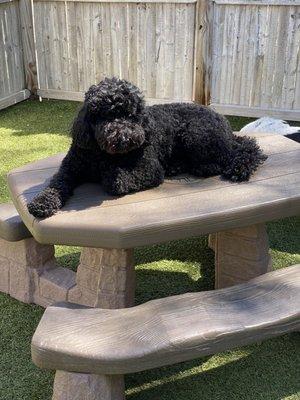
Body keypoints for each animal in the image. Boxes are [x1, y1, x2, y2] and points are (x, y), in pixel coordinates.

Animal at [27, 76, 268, 217]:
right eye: (105, 115)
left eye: (131, 114)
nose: (125, 137)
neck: (102, 154)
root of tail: (225, 124)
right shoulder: (70, 168)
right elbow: (56, 183)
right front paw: (42, 202)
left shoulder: (149, 168)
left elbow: (117, 179)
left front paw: (110, 174)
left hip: (196, 134)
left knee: (225, 158)